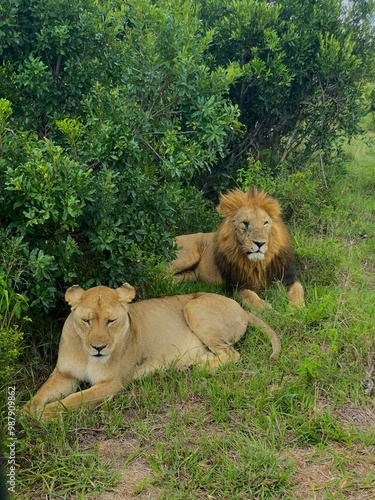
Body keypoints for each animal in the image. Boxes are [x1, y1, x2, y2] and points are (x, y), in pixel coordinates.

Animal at [22, 284, 280, 420]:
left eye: (111, 321)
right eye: (86, 320)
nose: (98, 348)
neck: (86, 354)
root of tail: (241, 308)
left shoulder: (113, 383)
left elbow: (75, 399)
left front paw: (45, 414)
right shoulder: (65, 374)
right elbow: (41, 393)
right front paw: (25, 412)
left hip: (193, 306)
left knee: (232, 355)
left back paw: (196, 369)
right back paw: (187, 365)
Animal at [170, 187, 306, 308]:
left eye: (265, 223)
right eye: (245, 223)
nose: (260, 243)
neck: (256, 264)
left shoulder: (287, 276)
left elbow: (298, 289)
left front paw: (296, 308)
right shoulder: (236, 285)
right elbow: (250, 296)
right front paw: (266, 308)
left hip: (190, 274)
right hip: (185, 258)